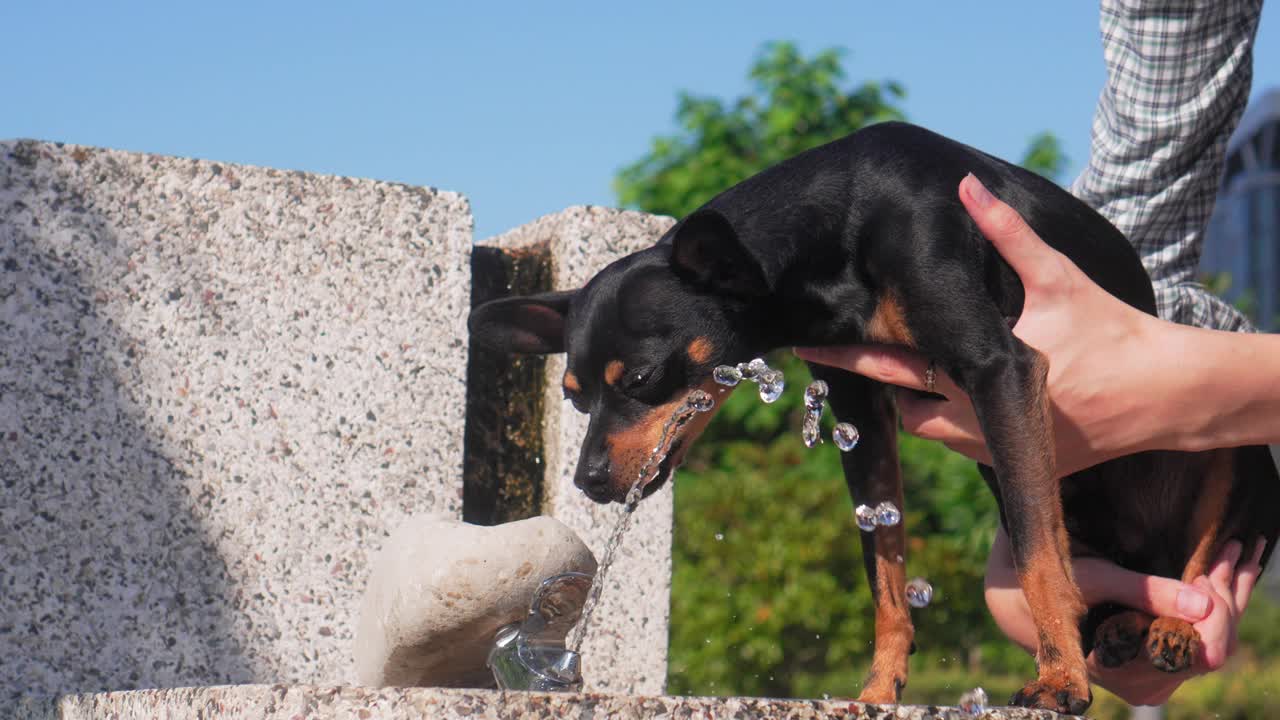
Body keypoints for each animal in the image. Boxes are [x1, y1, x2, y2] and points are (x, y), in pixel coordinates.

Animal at [473, 120, 1280, 707]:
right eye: (574, 395)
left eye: (641, 378)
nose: (589, 482)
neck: (836, 231)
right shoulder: (859, 406)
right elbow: (884, 566)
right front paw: (878, 689)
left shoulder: (1002, 369)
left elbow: (1036, 552)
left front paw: (1059, 681)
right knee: (1125, 573)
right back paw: (1123, 629)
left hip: (1233, 452)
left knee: (1197, 562)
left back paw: (1169, 626)